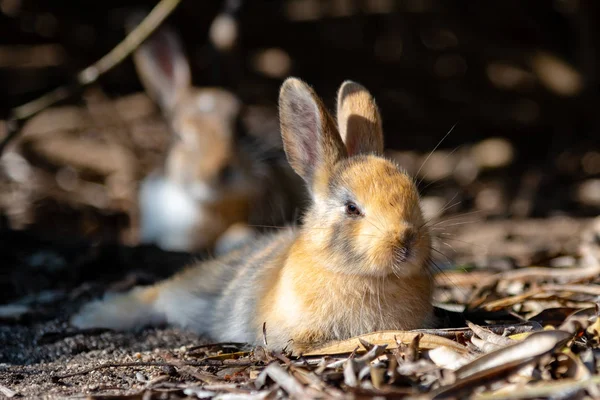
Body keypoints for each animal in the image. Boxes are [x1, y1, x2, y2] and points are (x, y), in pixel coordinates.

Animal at [72, 77, 434, 354]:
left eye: (413, 195)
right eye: (352, 208)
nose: (406, 242)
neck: (356, 274)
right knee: (156, 294)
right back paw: (91, 315)